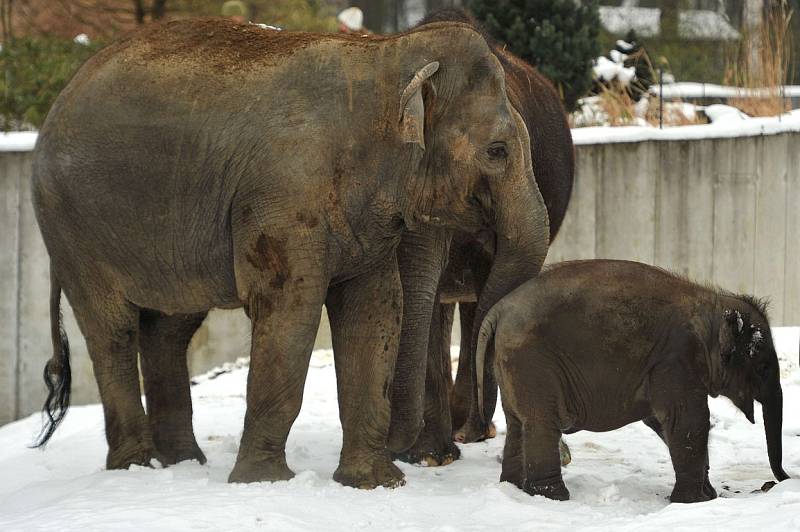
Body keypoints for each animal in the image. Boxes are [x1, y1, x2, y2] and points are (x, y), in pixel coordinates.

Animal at [34, 18, 552, 488]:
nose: (470, 436)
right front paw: (263, 482)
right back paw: (137, 469)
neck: (386, 56)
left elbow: (374, 312)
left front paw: (374, 483)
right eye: (498, 151)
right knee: (113, 330)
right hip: (74, 225)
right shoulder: (285, 196)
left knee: (169, 327)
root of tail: (59, 99)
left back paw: (183, 464)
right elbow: (290, 310)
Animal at [476, 260, 788, 500]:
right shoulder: (676, 361)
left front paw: (707, 494)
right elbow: (688, 420)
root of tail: (498, 310)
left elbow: (662, 422)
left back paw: (514, 489)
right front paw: (694, 501)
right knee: (542, 422)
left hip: (511, 365)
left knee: (518, 422)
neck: (713, 305)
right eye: (762, 367)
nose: (780, 480)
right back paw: (554, 498)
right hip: (533, 361)